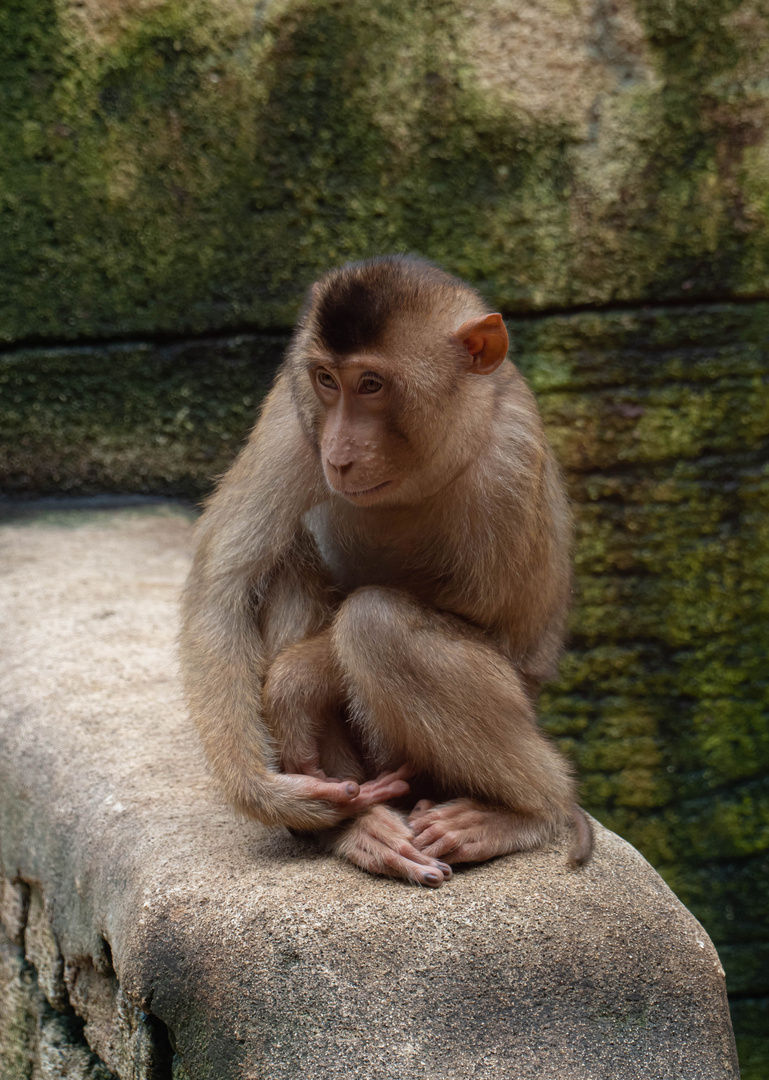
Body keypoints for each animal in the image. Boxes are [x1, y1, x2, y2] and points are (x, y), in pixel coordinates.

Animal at [181, 252, 596, 885]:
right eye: (328, 381)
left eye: (371, 385)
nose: (338, 454)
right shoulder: (292, 418)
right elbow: (222, 583)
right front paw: (268, 792)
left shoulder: (507, 461)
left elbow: (489, 625)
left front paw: (296, 682)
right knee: (285, 562)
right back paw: (355, 824)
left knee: (378, 623)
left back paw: (532, 811)